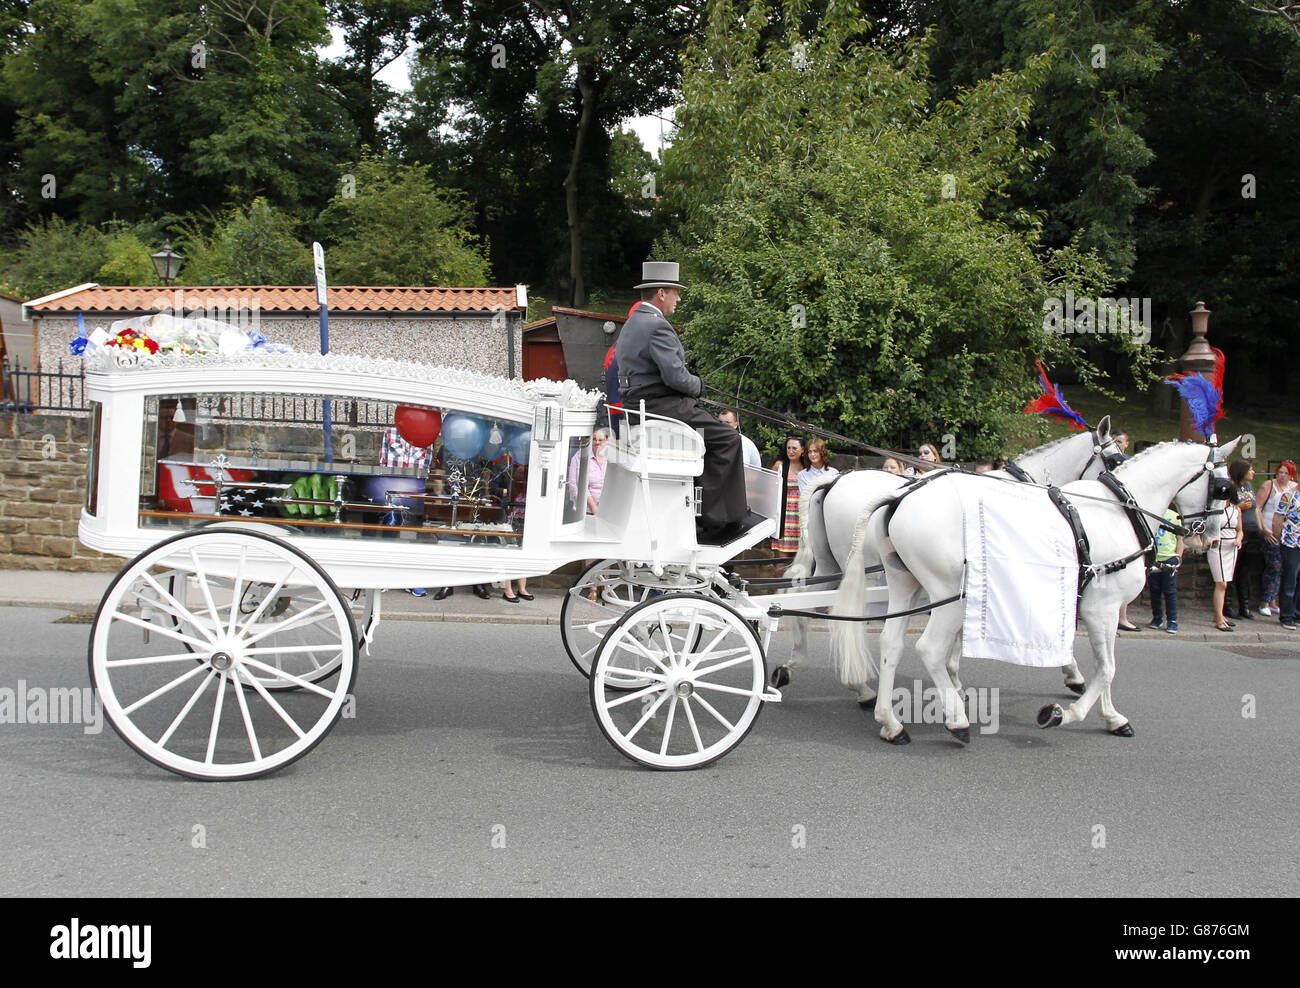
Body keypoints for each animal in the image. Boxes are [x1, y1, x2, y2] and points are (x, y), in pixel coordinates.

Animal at [774, 418, 1123, 696]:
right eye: (1115, 459)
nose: (1121, 494)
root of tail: (834, 479)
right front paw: (1073, 674)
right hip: (860, 570)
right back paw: (858, 685)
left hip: (829, 562)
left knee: (803, 599)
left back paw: (791, 665)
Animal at [832, 436, 1237, 743]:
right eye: (1223, 488)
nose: (1212, 538)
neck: (1118, 511)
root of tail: (900, 496)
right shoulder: (1103, 609)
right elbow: (1106, 668)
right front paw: (1064, 713)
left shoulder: (1089, 607)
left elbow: (1103, 664)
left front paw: (1112, 716)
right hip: (948, 593)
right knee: (928, 648)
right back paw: (955, 720)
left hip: (905, 585)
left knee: (891, 644)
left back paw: (890, 721)